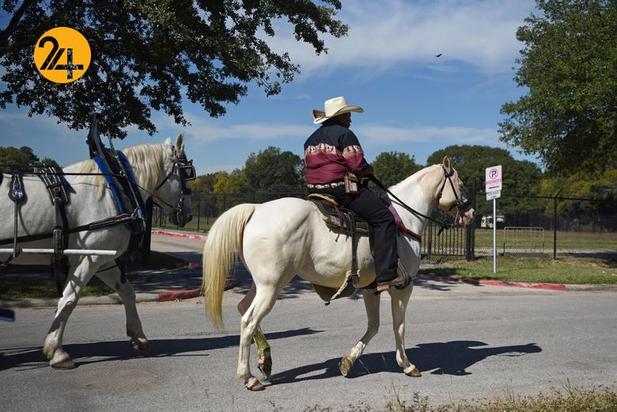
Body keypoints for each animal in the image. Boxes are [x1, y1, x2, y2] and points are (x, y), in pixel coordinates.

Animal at [0, 137, 192, 368]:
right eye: (188, 173)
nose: (188, 215)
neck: (115, 188)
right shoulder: (89, 257)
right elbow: (69, 299)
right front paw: (56, 350)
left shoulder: (104, 259)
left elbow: (127, 291)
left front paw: (138, 336)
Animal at [201, 154, 472, 390]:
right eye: (460, 184)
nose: (470, 213)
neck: (404, 219)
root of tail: (256, 209)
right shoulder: (403, 286)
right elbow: (399, 326)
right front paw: (407, 365)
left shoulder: (371, 289)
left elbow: (374, 325)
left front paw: (348, 362)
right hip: (271, 286)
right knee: (248, 321)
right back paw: (248, 377)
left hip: (261, 284)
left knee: (243, 309)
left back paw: (265, 360)